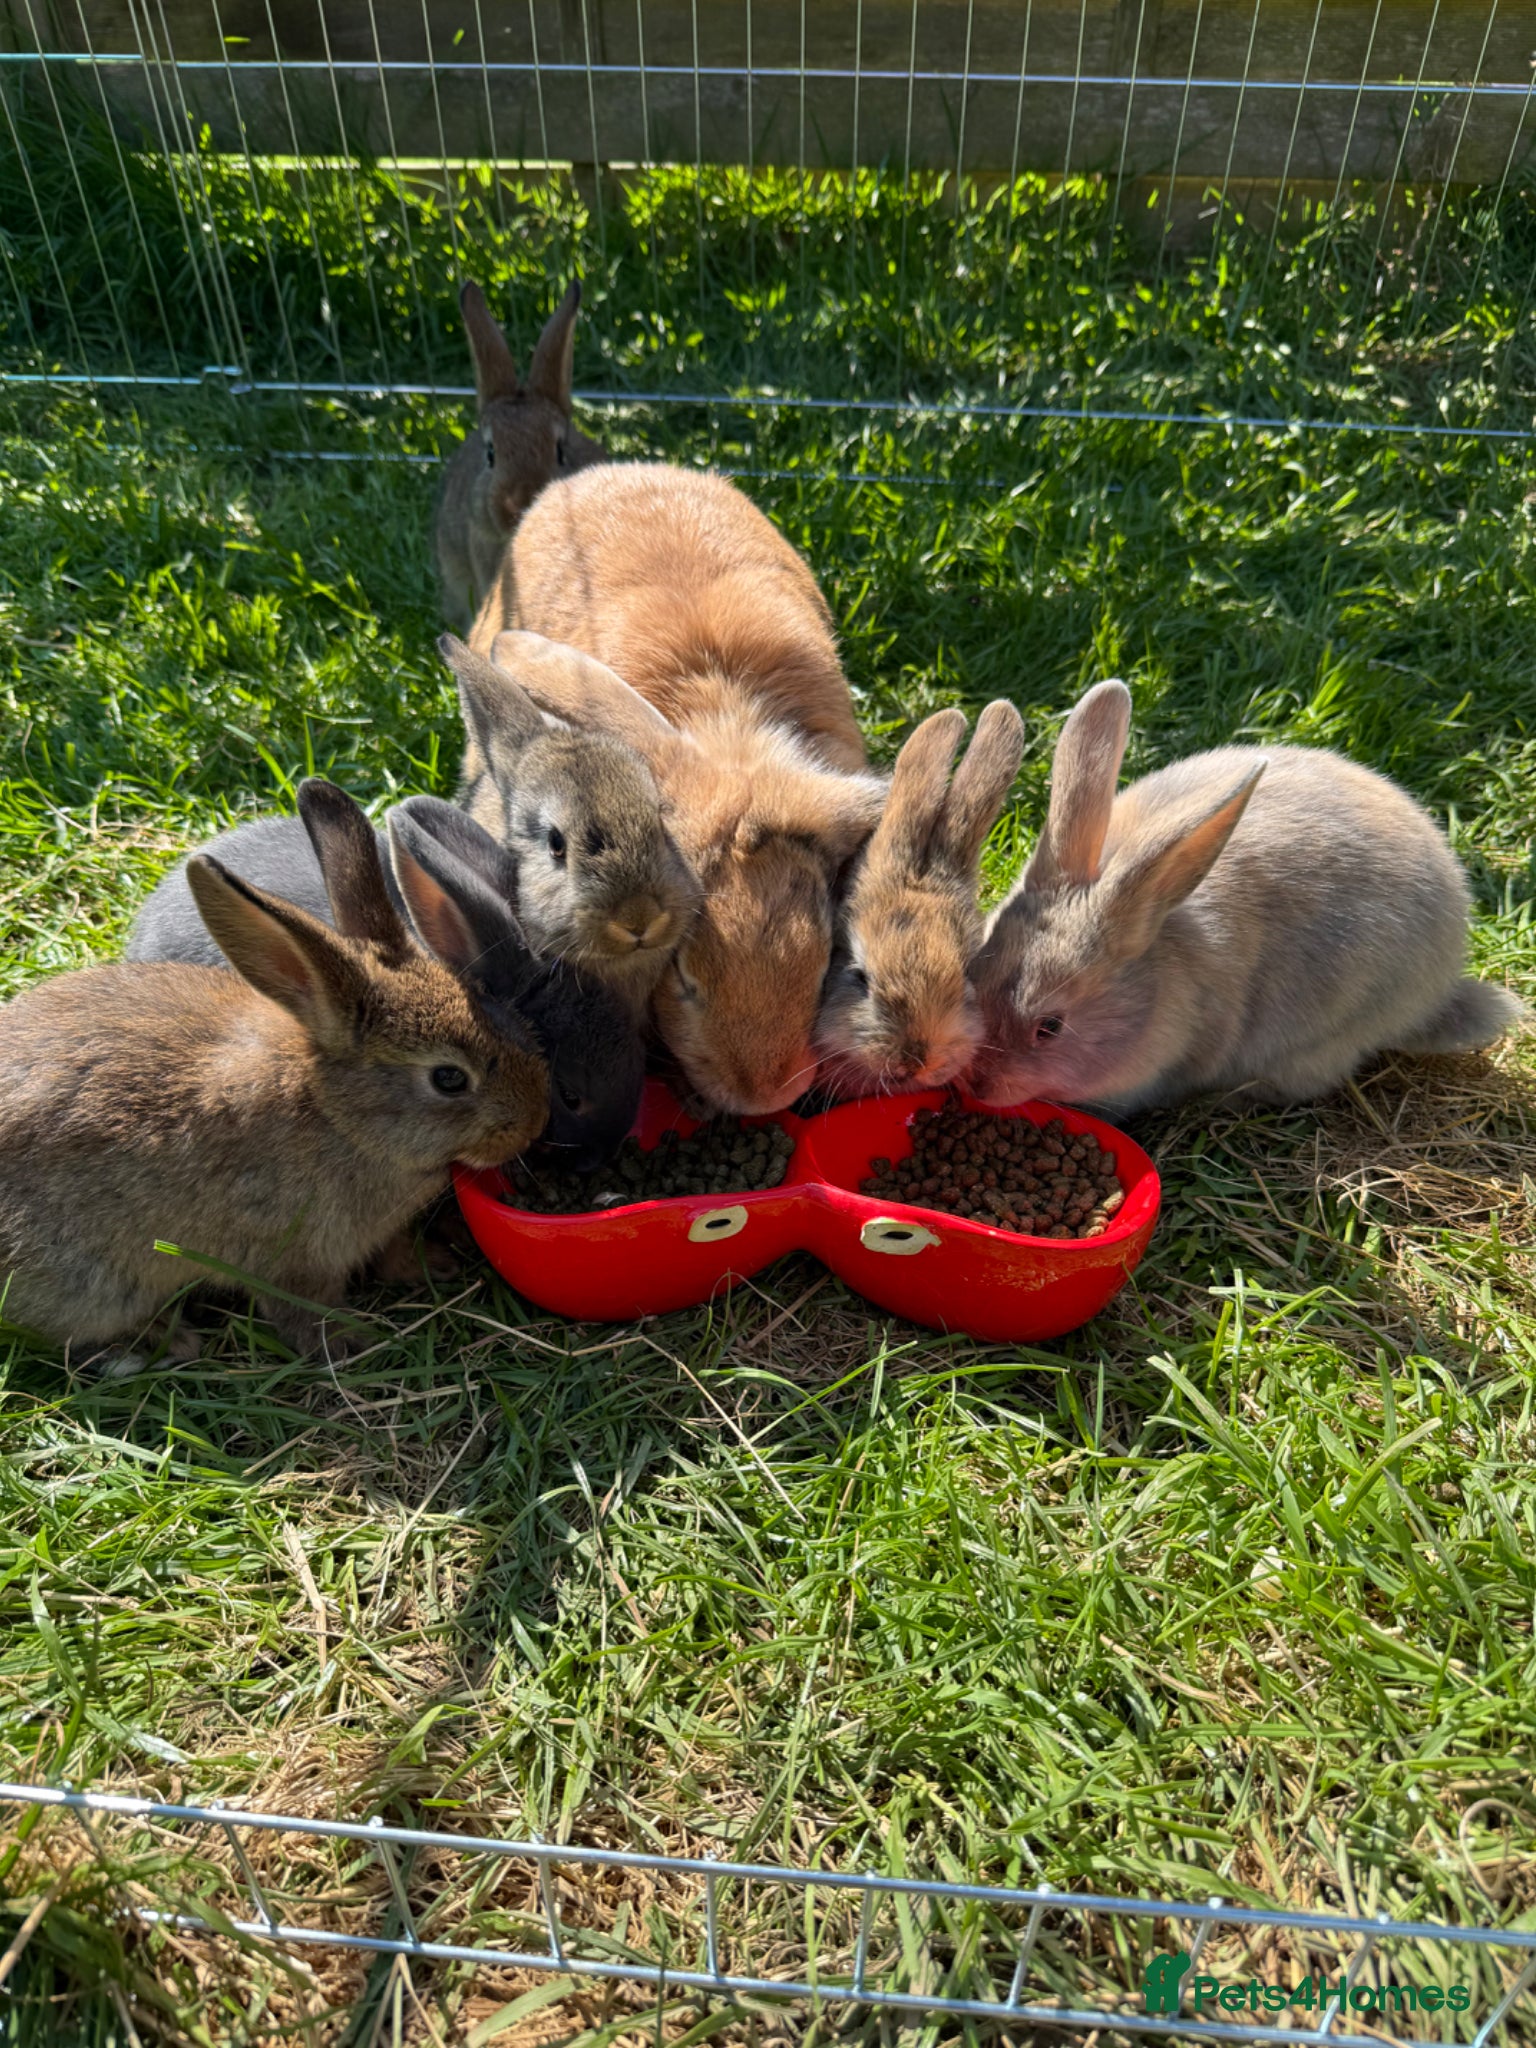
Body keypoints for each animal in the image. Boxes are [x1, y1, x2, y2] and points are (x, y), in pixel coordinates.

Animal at [0, 780, 549, 1364]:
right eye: (448, 1078)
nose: (534, 1122)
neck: (341, 1119)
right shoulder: (290, 1256)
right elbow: (300, 1310)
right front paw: (346, 1343)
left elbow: (392, 1252)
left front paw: (432, 1266)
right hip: (96, 1285)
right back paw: (163, 1342)